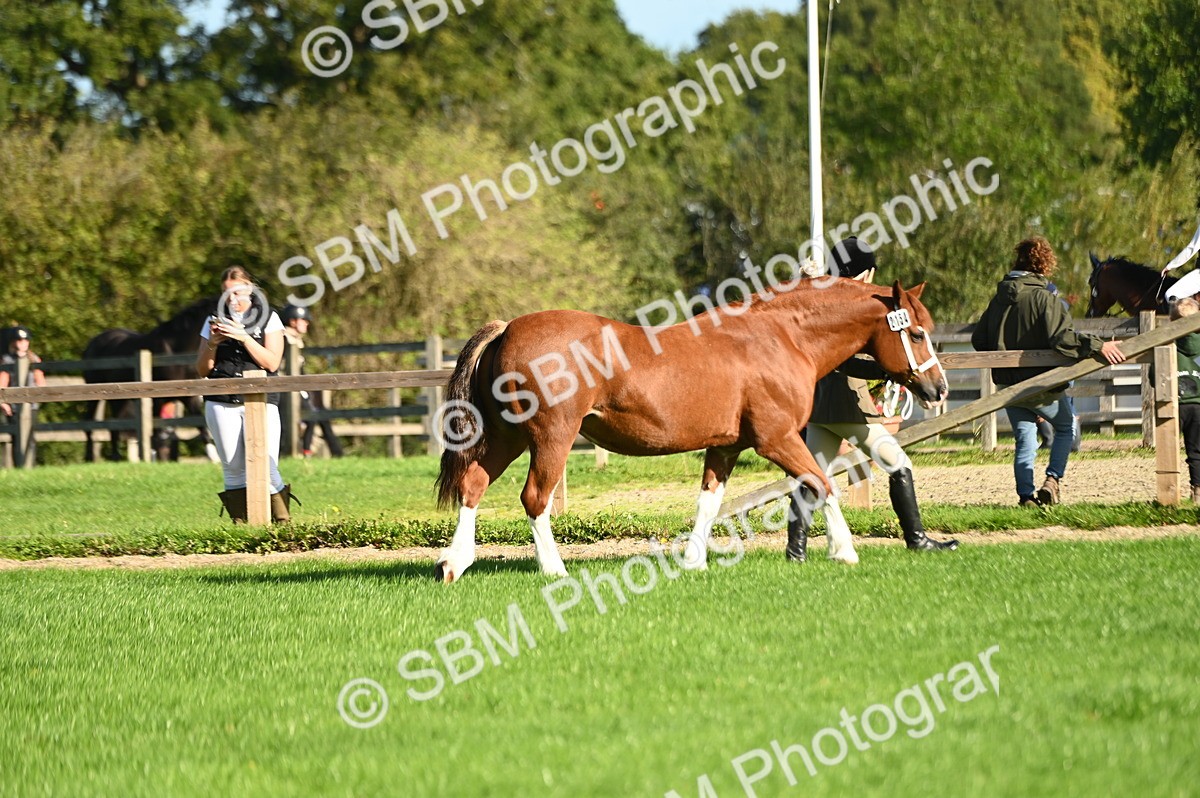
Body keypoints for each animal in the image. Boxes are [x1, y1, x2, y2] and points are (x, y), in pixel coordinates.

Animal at [82, 297, 218, 461]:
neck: (175, 350)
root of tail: (92, 344)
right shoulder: (158, 399)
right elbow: (156, 432)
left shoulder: (189, 397)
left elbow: (201, 426)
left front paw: (214, 457)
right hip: (93, 395)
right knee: (89, 423)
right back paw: (90, 457)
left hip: (118, 399)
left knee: (115, 425)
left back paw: (116, 457)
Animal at [432, 278, 948, 583]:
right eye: (916, 333)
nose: (938, 387)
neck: (782, 336)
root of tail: (506, 328)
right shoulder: (777, 439)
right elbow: (821, 484)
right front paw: (844, 551)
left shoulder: (727, 447)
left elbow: (709, 502)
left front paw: (693, 560)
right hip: (549, 438)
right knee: (535, 499)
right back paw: (554, 569)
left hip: (507, 436)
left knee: (473, 484)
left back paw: (455, 563)